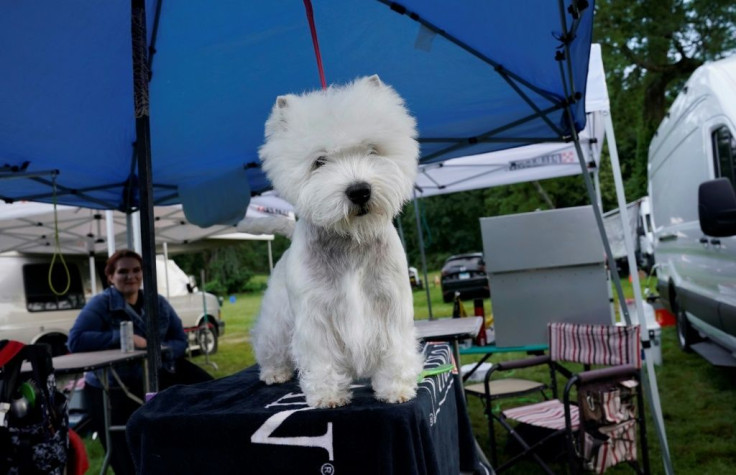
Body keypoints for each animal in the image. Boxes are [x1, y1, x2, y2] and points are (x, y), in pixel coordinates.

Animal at [253, 74, 426, 410]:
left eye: (372, 150)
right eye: (319, 161)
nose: (359, 191)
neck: (350, 240)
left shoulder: (391, 305)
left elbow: (395, 350)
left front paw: (396, 389)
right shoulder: (315, 315)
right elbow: (322, 358)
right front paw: (328, 395)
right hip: (277, 321)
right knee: (270, 343)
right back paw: (274, 372)